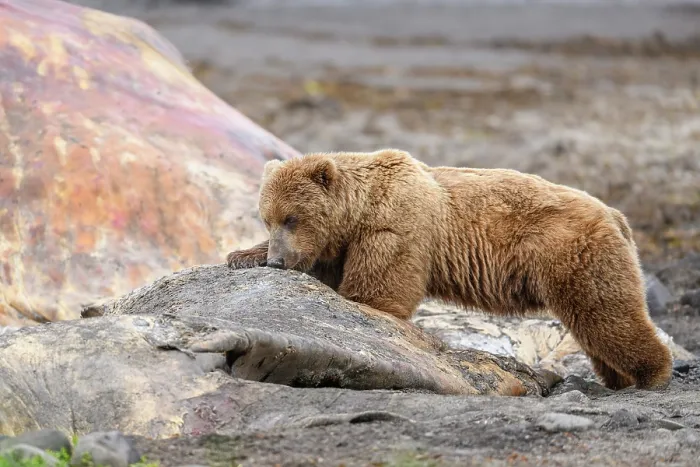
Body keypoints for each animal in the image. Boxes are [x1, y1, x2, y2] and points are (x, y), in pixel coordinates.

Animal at [226, 148, 673, 391]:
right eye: (267, 218)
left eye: (292, 218)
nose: (277, 261)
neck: (360, 211)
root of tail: (615, 214)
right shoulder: (341, 244)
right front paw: (241, 255)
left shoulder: (395, 229)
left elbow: (379, 296)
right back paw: (617, 377)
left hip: (571, 252)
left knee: (606, 313)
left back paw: (651, 373)